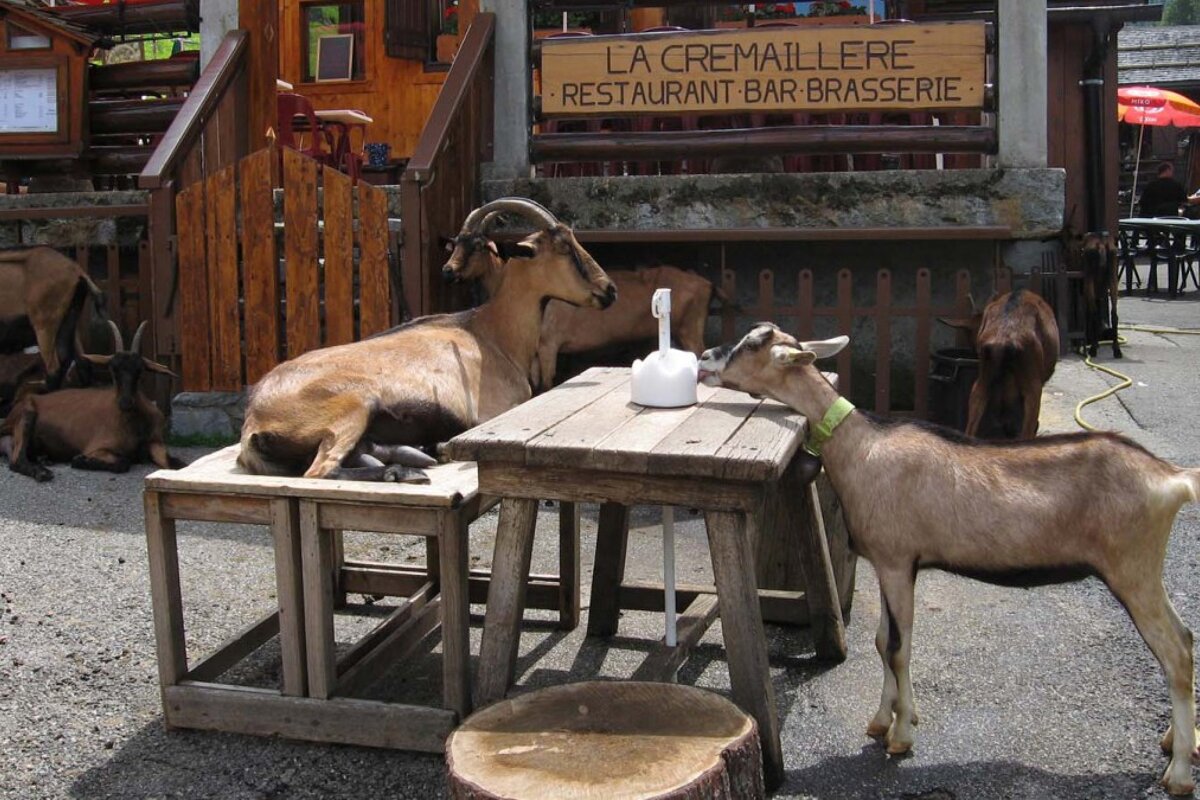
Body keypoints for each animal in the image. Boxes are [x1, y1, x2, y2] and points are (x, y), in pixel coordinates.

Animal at [1, 321, 180, 482]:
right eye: (112, 369)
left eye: (140, 370)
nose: (125, 402)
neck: (135, 423)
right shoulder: (97, 448)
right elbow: (123, 463)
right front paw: (79, 461)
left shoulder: (156, 443)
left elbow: (176, 463)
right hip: (26, 415)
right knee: (17, 461)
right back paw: (42, 472)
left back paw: (43, 459)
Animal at [238, 198, 616, 482]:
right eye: (564, 248)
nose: (609, 290)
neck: (491, 334)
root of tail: (254, 421)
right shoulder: (493, 413)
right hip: (353, 407)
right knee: (321, 471)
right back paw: (403, 470)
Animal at [698, 323, 1200, 796]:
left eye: (752, 344)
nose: (704, 358)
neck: (861, 444)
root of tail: (1172, 479)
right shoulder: (890, 564)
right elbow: (882, 641)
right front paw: (882, 720)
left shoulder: (897, 561)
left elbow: (898, 648)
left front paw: (901, 737)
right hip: (1142, 571)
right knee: (1185, 639)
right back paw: (1178, 742)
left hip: (1133, 569)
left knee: (1175, 652)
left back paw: (1178, 772)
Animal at [938, 289, 1059, 440]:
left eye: (972, 340)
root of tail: (1004, 339)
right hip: (1033, 380)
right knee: (1026, 431)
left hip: (984, 377)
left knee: (973, 422)